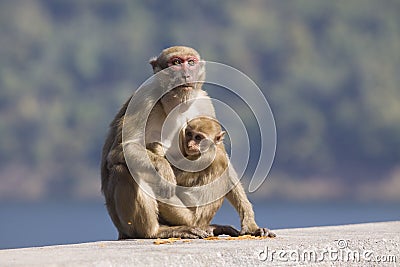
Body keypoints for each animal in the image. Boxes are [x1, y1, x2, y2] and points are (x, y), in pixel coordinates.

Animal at [101, 46, 274, 241]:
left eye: (190, 62)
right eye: (176, 62)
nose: (185, 74)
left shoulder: (203, 101)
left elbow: (220, 153)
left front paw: (251, 224)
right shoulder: (144, 99)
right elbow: (119, 150)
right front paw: (165, 170)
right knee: (124, 169)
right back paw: (155, 231)